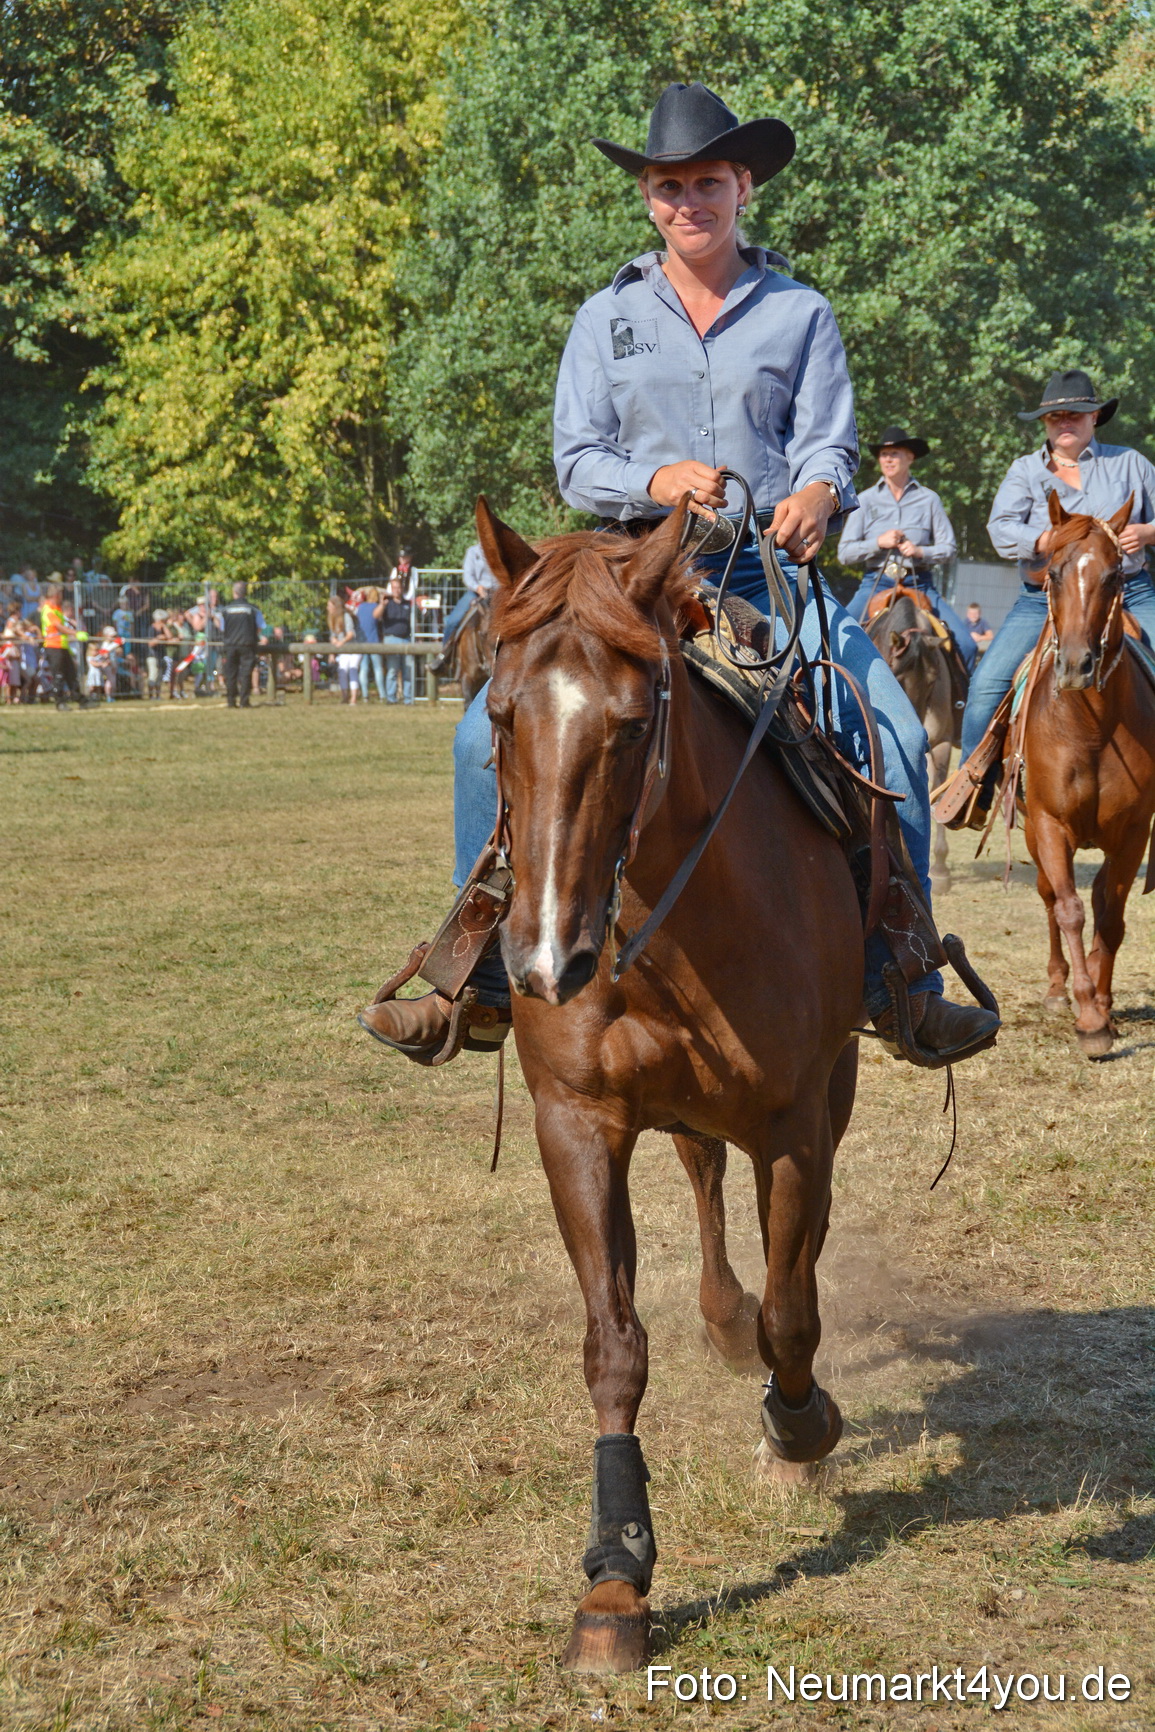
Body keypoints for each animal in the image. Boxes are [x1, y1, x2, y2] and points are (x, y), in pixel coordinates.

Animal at [477, 496, 864, 1672]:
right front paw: (614, 1578)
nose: (543, 960)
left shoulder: (793, 1118)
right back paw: (720, 1317)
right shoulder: (576, 1123)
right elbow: (614, 1346)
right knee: (702, 1174)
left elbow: (796, 1310)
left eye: (632, 724)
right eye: (499, 716)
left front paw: (800, 1430)